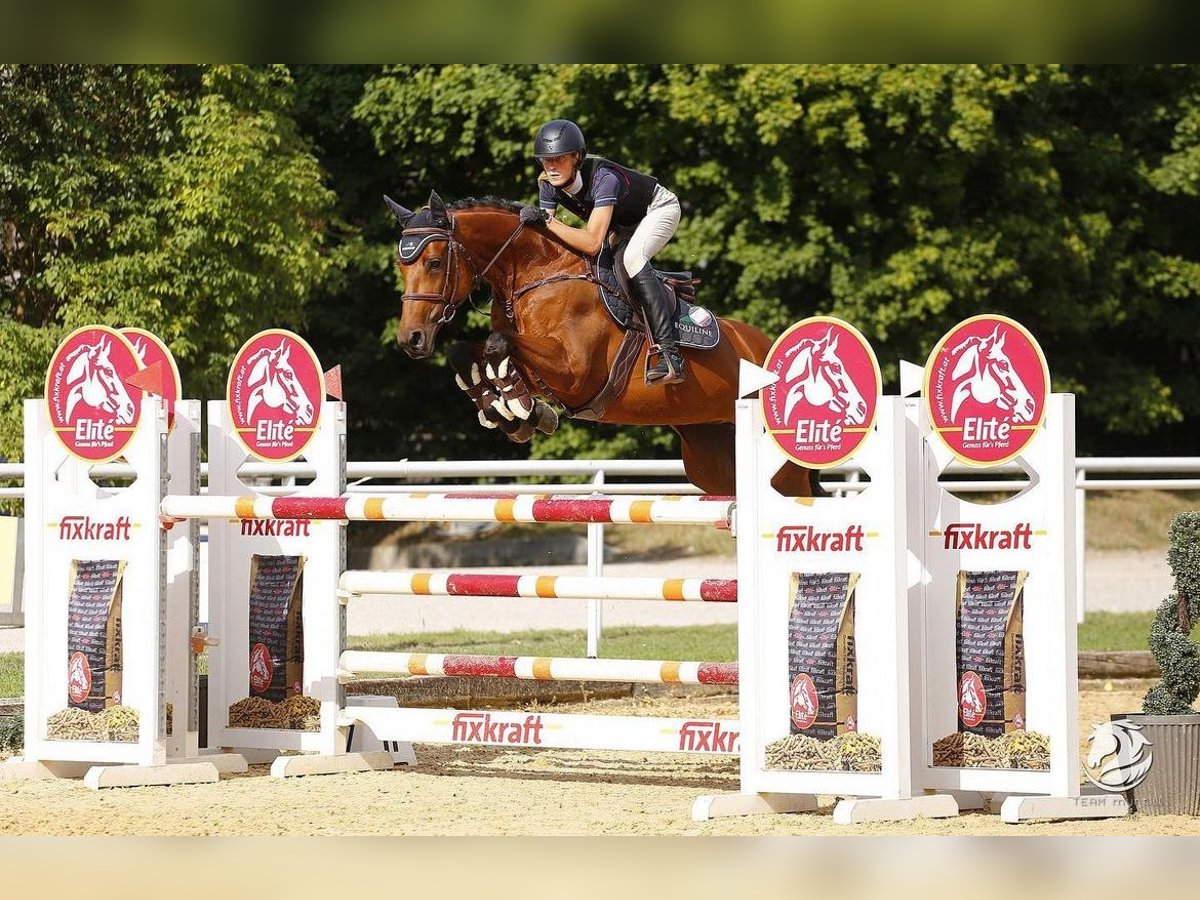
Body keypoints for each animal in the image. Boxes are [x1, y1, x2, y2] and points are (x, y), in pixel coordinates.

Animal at [384, 192, 825, 501]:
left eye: (434, 263)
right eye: (402, 265)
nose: (411, 339)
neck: (538, 273)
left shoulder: (575, 372)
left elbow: (498, 343)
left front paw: (524, 410)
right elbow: (471, 352)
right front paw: (512, 413)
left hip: (779, 467)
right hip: (712, 456)